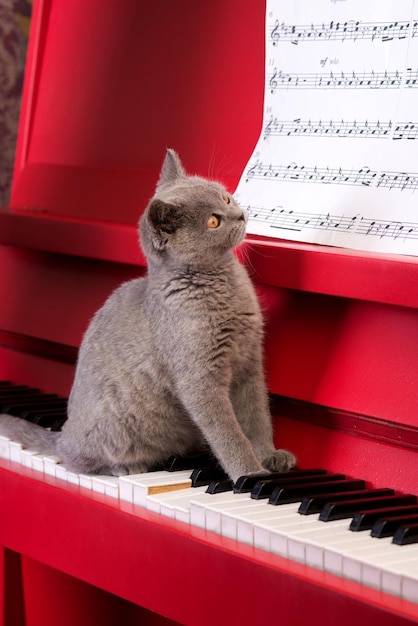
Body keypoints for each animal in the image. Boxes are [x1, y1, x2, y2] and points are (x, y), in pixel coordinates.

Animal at [0, 149, 296, 480]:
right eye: (213, 221)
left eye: (225, 198)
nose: (241, 215)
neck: (223, 284)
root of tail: (64, 434)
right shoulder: (199, 381)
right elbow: (228, 433)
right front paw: (250, 475)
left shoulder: (250, 364)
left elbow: (258, 415)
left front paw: (269, 456)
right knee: (82, 461)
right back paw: (128, 467)